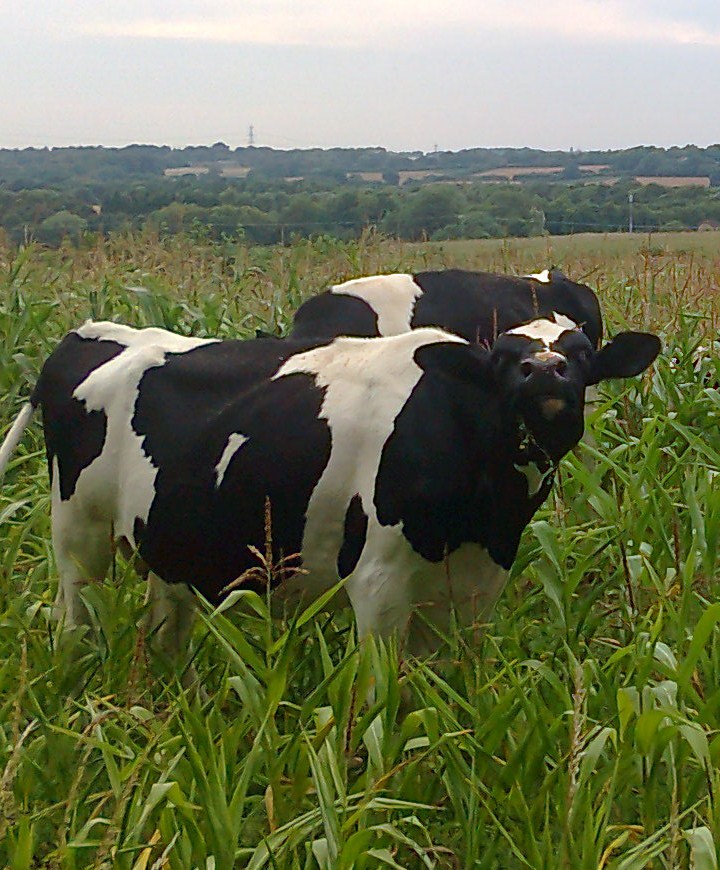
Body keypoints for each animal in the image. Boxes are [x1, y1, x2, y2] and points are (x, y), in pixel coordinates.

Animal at [0, 315, 660, 667]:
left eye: (581, 354)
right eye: (503, 358)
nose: (544, 371)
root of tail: (93, 330)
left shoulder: (475, 590)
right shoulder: (378, 582)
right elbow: (382, 699)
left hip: (167, 544)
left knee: (165, 630)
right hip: (79, 537)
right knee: (75, 623)